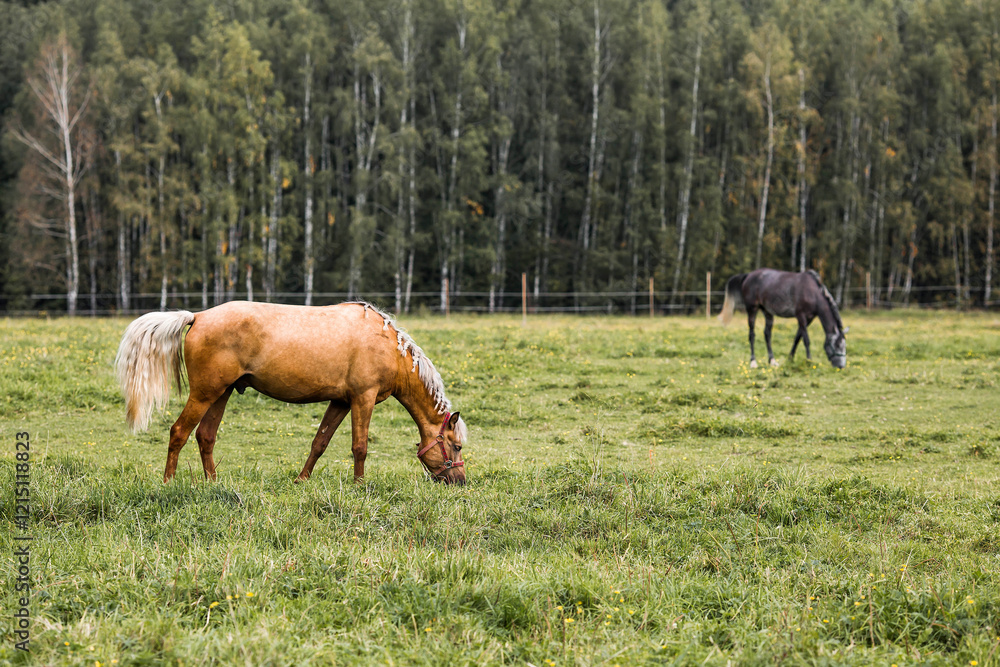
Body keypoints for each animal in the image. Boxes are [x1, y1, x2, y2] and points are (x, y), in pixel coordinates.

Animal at [114, 301, 468, 485]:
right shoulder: (362, 399)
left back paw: (213, 482)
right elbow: (360, 447)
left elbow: (320, 443)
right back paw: (169, 482)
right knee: (179, 432)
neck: (386, 345)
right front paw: (359, 485)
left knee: (205, 436)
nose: (461, 482)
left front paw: (302, 480)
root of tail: (197, 316)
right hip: (204, 393)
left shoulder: (340, 401)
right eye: (457, 446)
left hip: (221, 393)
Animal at [719, 269, 847, 369]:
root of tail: (748, 275)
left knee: (767, 334)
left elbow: (797, 338)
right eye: (837, 345)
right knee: (752, 334)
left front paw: (790, 359)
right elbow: (806, 339)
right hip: (752, 309)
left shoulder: (809, 318)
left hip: (767, 311)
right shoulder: (801, 316)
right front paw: (809, 361)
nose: (841, 366)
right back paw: (753, 362)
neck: (812, 293)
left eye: (844, 346)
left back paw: (772, 361)